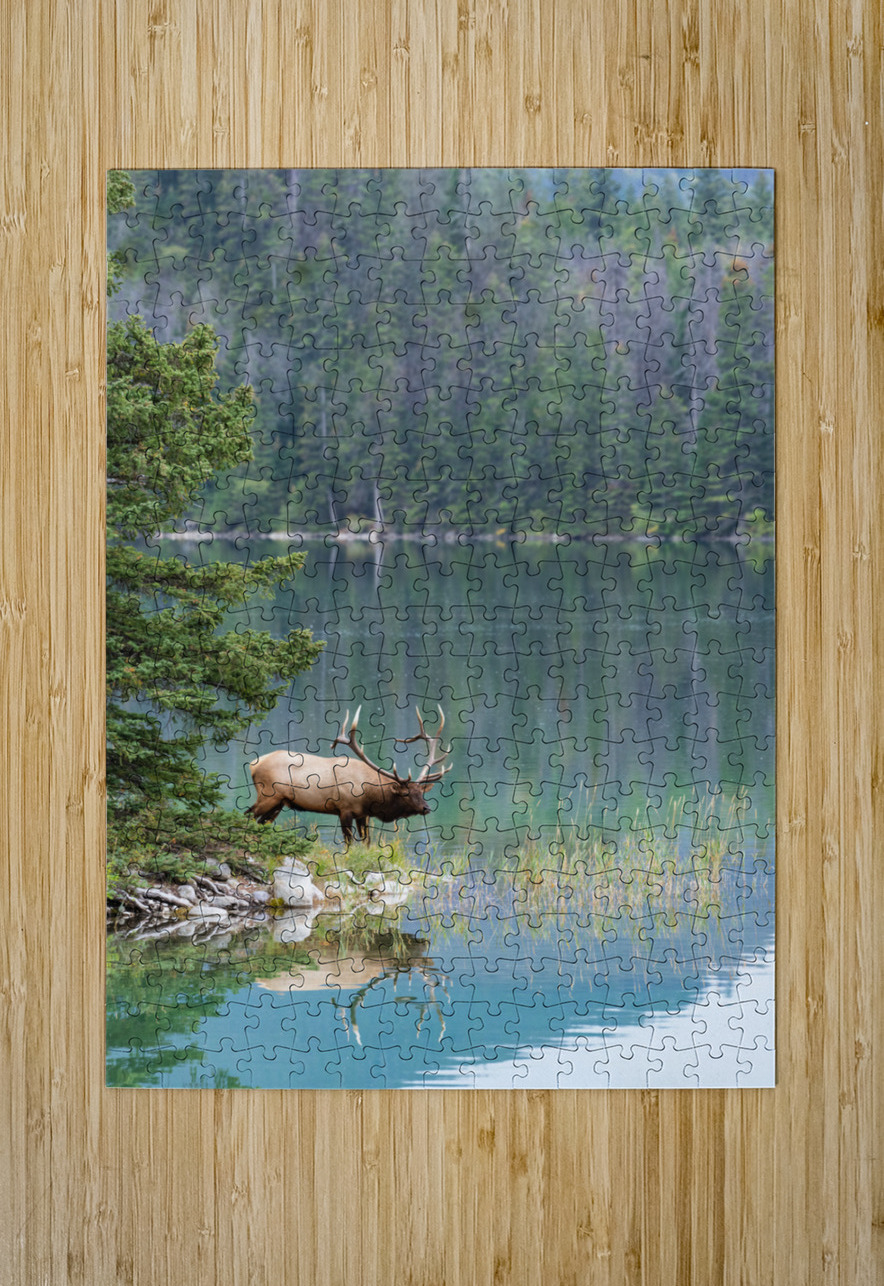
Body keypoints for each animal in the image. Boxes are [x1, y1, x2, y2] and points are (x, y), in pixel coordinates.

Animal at [247, 706, 451, 846]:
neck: (370, 794)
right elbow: (349, 843)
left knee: (260, 822)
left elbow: (367, 843)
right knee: (248, 815)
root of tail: (253, 764)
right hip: (268, 795)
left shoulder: (364, 814)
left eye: (421, 792)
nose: (426, 808)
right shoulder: (344, 809)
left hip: (279, 802)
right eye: (406, 793)